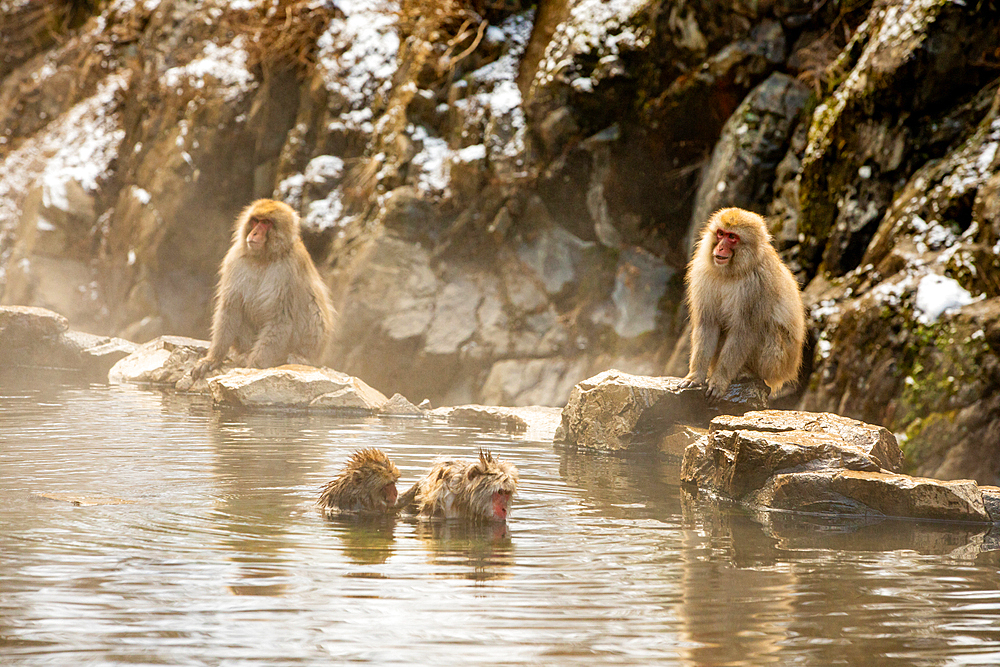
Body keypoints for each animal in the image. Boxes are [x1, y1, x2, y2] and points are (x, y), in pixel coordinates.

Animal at [191, 197, 336, 380]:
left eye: (266, 223)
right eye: (255, 221)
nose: (254, 233)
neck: (264, 258)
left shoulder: (290, 269)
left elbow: (281, 318)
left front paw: (253, 368)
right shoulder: (234, 259)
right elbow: (231, 308)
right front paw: (213, 359)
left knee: (312, 308)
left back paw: (298, 357)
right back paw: (244, 354)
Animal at [680, 206, 804, 400]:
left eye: (732, 237)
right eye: (720, 233)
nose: (720, 247)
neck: (732, 272)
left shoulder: (758, 283)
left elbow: (744, 331)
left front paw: (719, 380)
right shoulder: (703, 273)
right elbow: (708, 324)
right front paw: (695, 375)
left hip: (777, 363)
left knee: (768, 328)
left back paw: (748, 373)